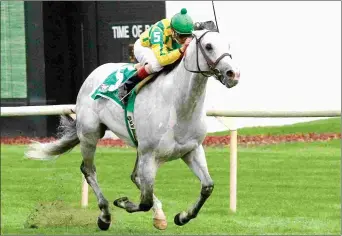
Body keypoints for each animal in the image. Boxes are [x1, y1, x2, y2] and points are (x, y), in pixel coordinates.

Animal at [25, 29, 240, 230]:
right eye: (209, 46)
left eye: (229, 44)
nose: (233, 74)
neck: (177, 106)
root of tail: (95, 73)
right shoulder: (149, 154)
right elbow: (144, 202)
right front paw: (123, 202)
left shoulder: (191, 150)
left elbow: (207, 186)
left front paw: (182, 216)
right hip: (90, 134)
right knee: (89, 170)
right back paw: (105, 215)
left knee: (135, 177)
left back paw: (157, 215)